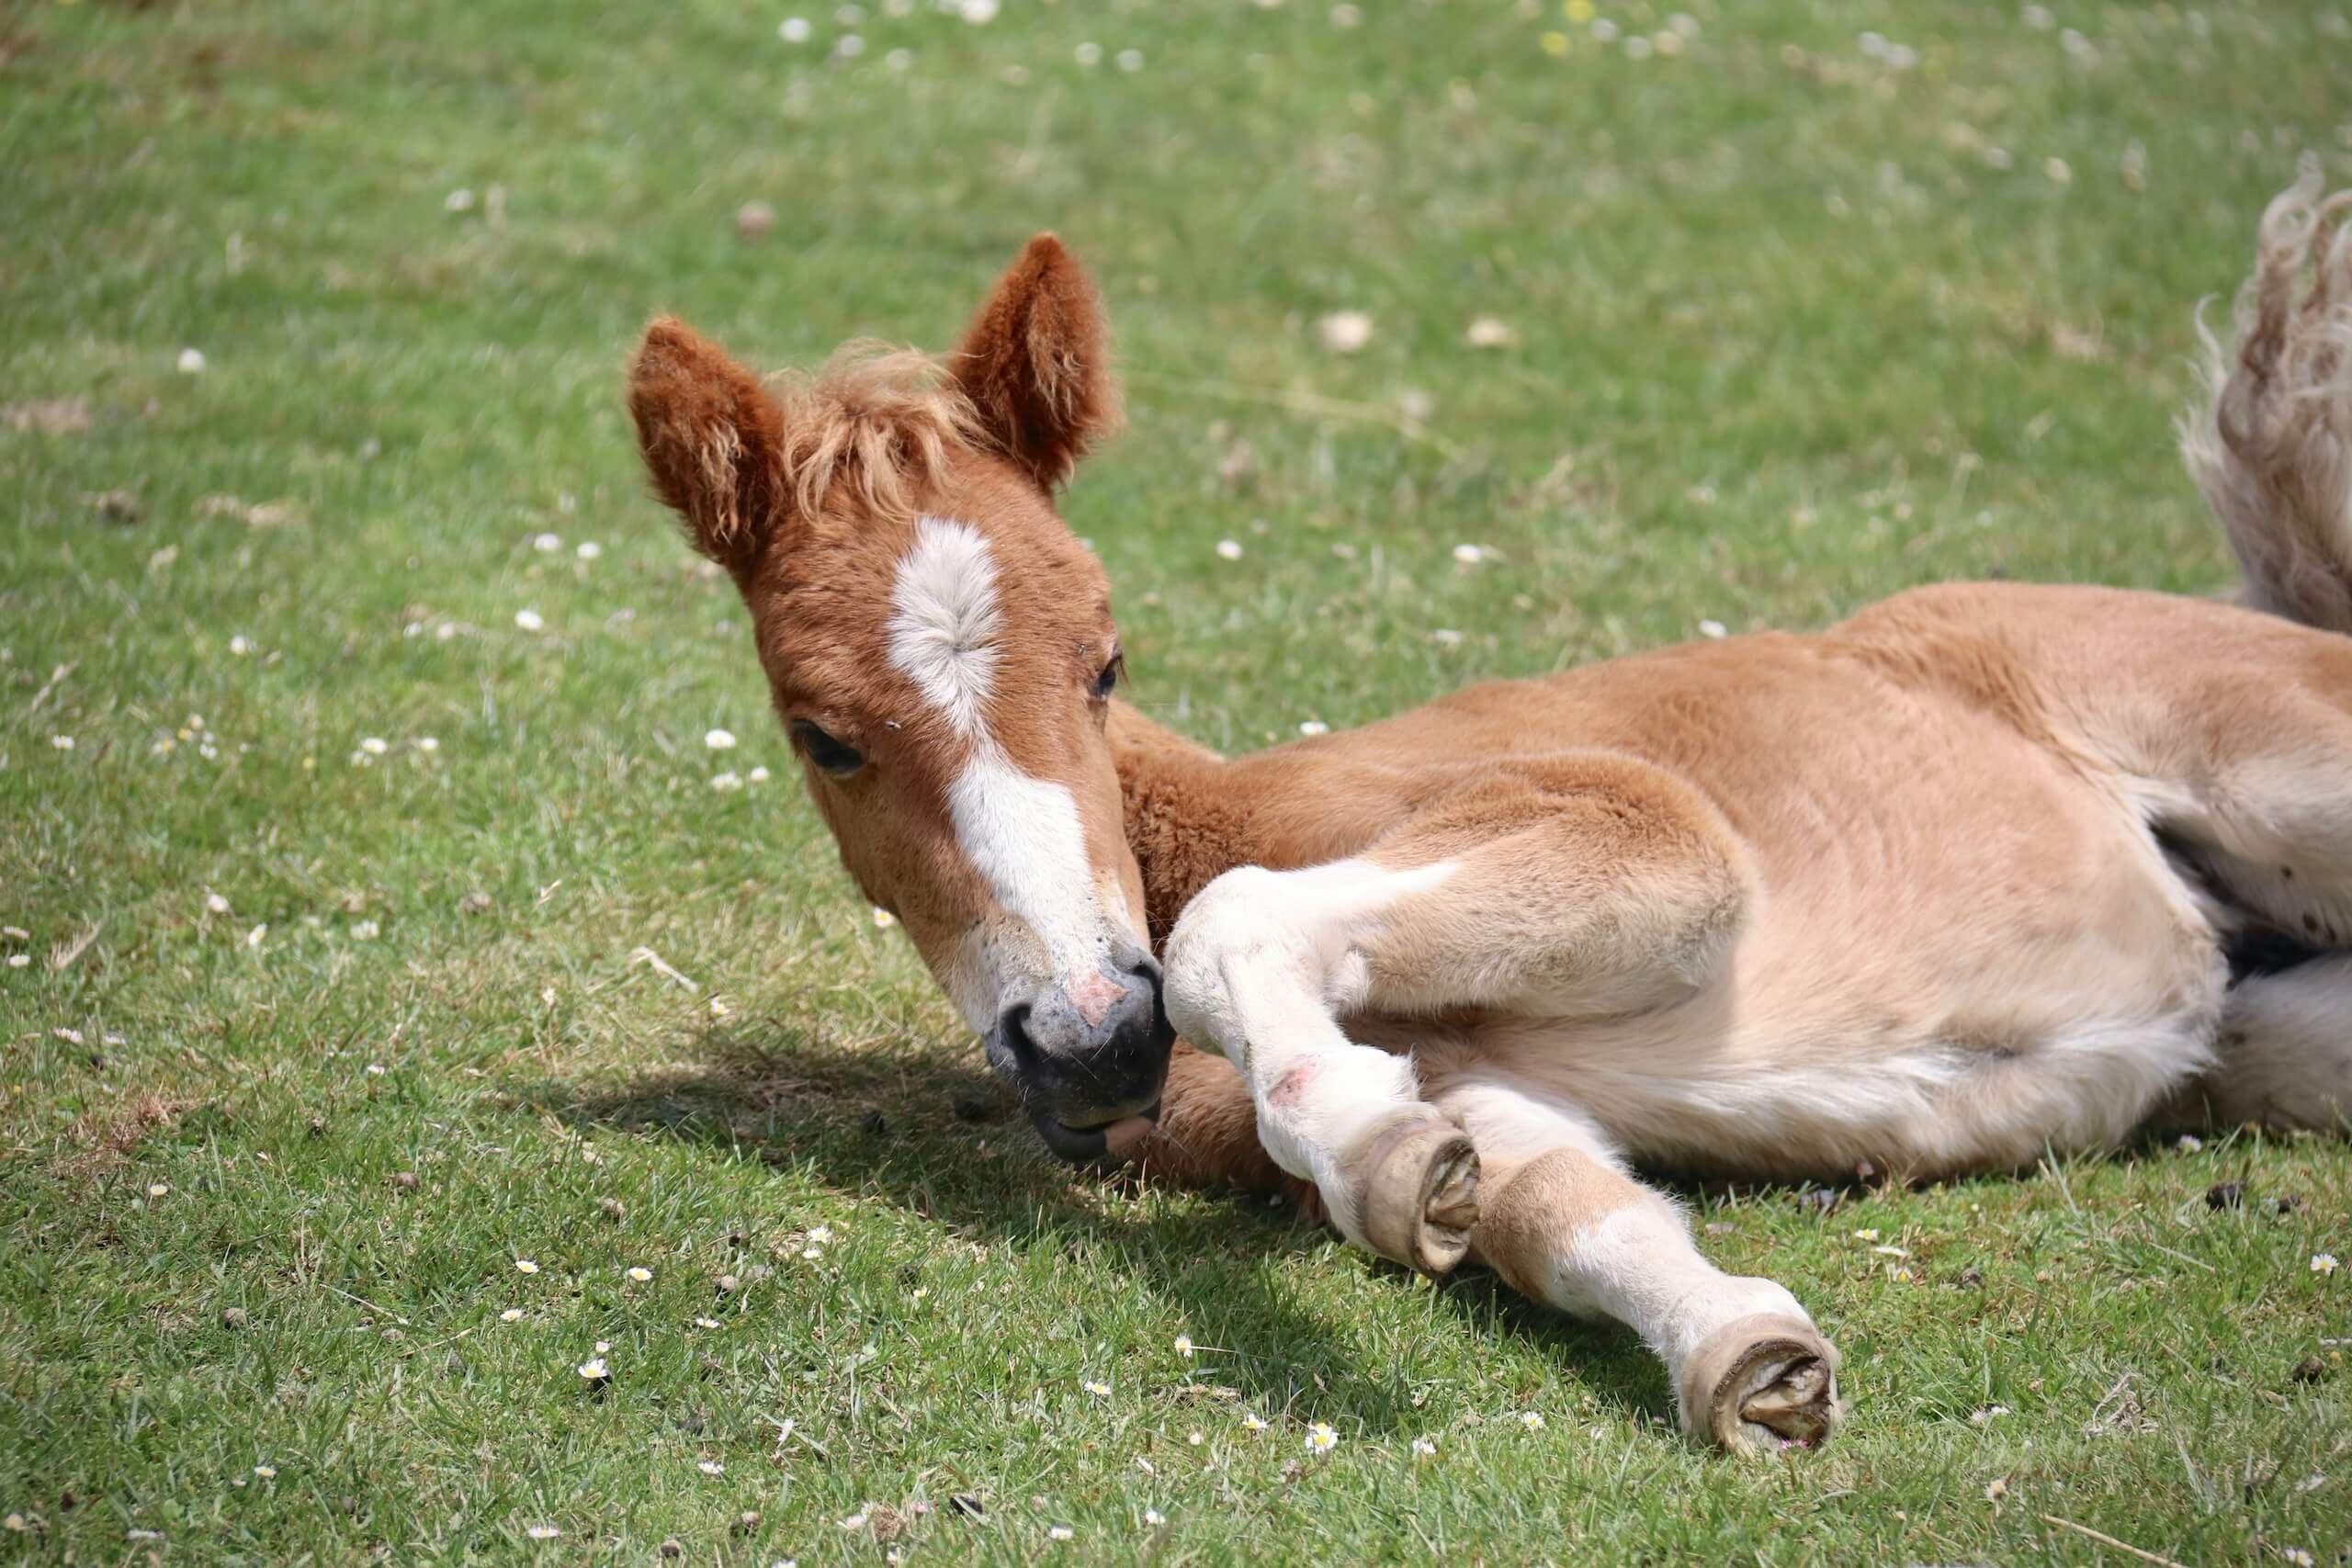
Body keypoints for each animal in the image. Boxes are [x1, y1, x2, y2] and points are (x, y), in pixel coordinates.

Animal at [625, 167, 2352, 1453]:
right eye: (825, 737)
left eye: (1107, 660)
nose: (1093, 1038)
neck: (1214, 816)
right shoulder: (1492, 1092)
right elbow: (1556, 1207)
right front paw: (1735, 1349)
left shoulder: (1639, 826)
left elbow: (1242, 927)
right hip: (2274, 1038)